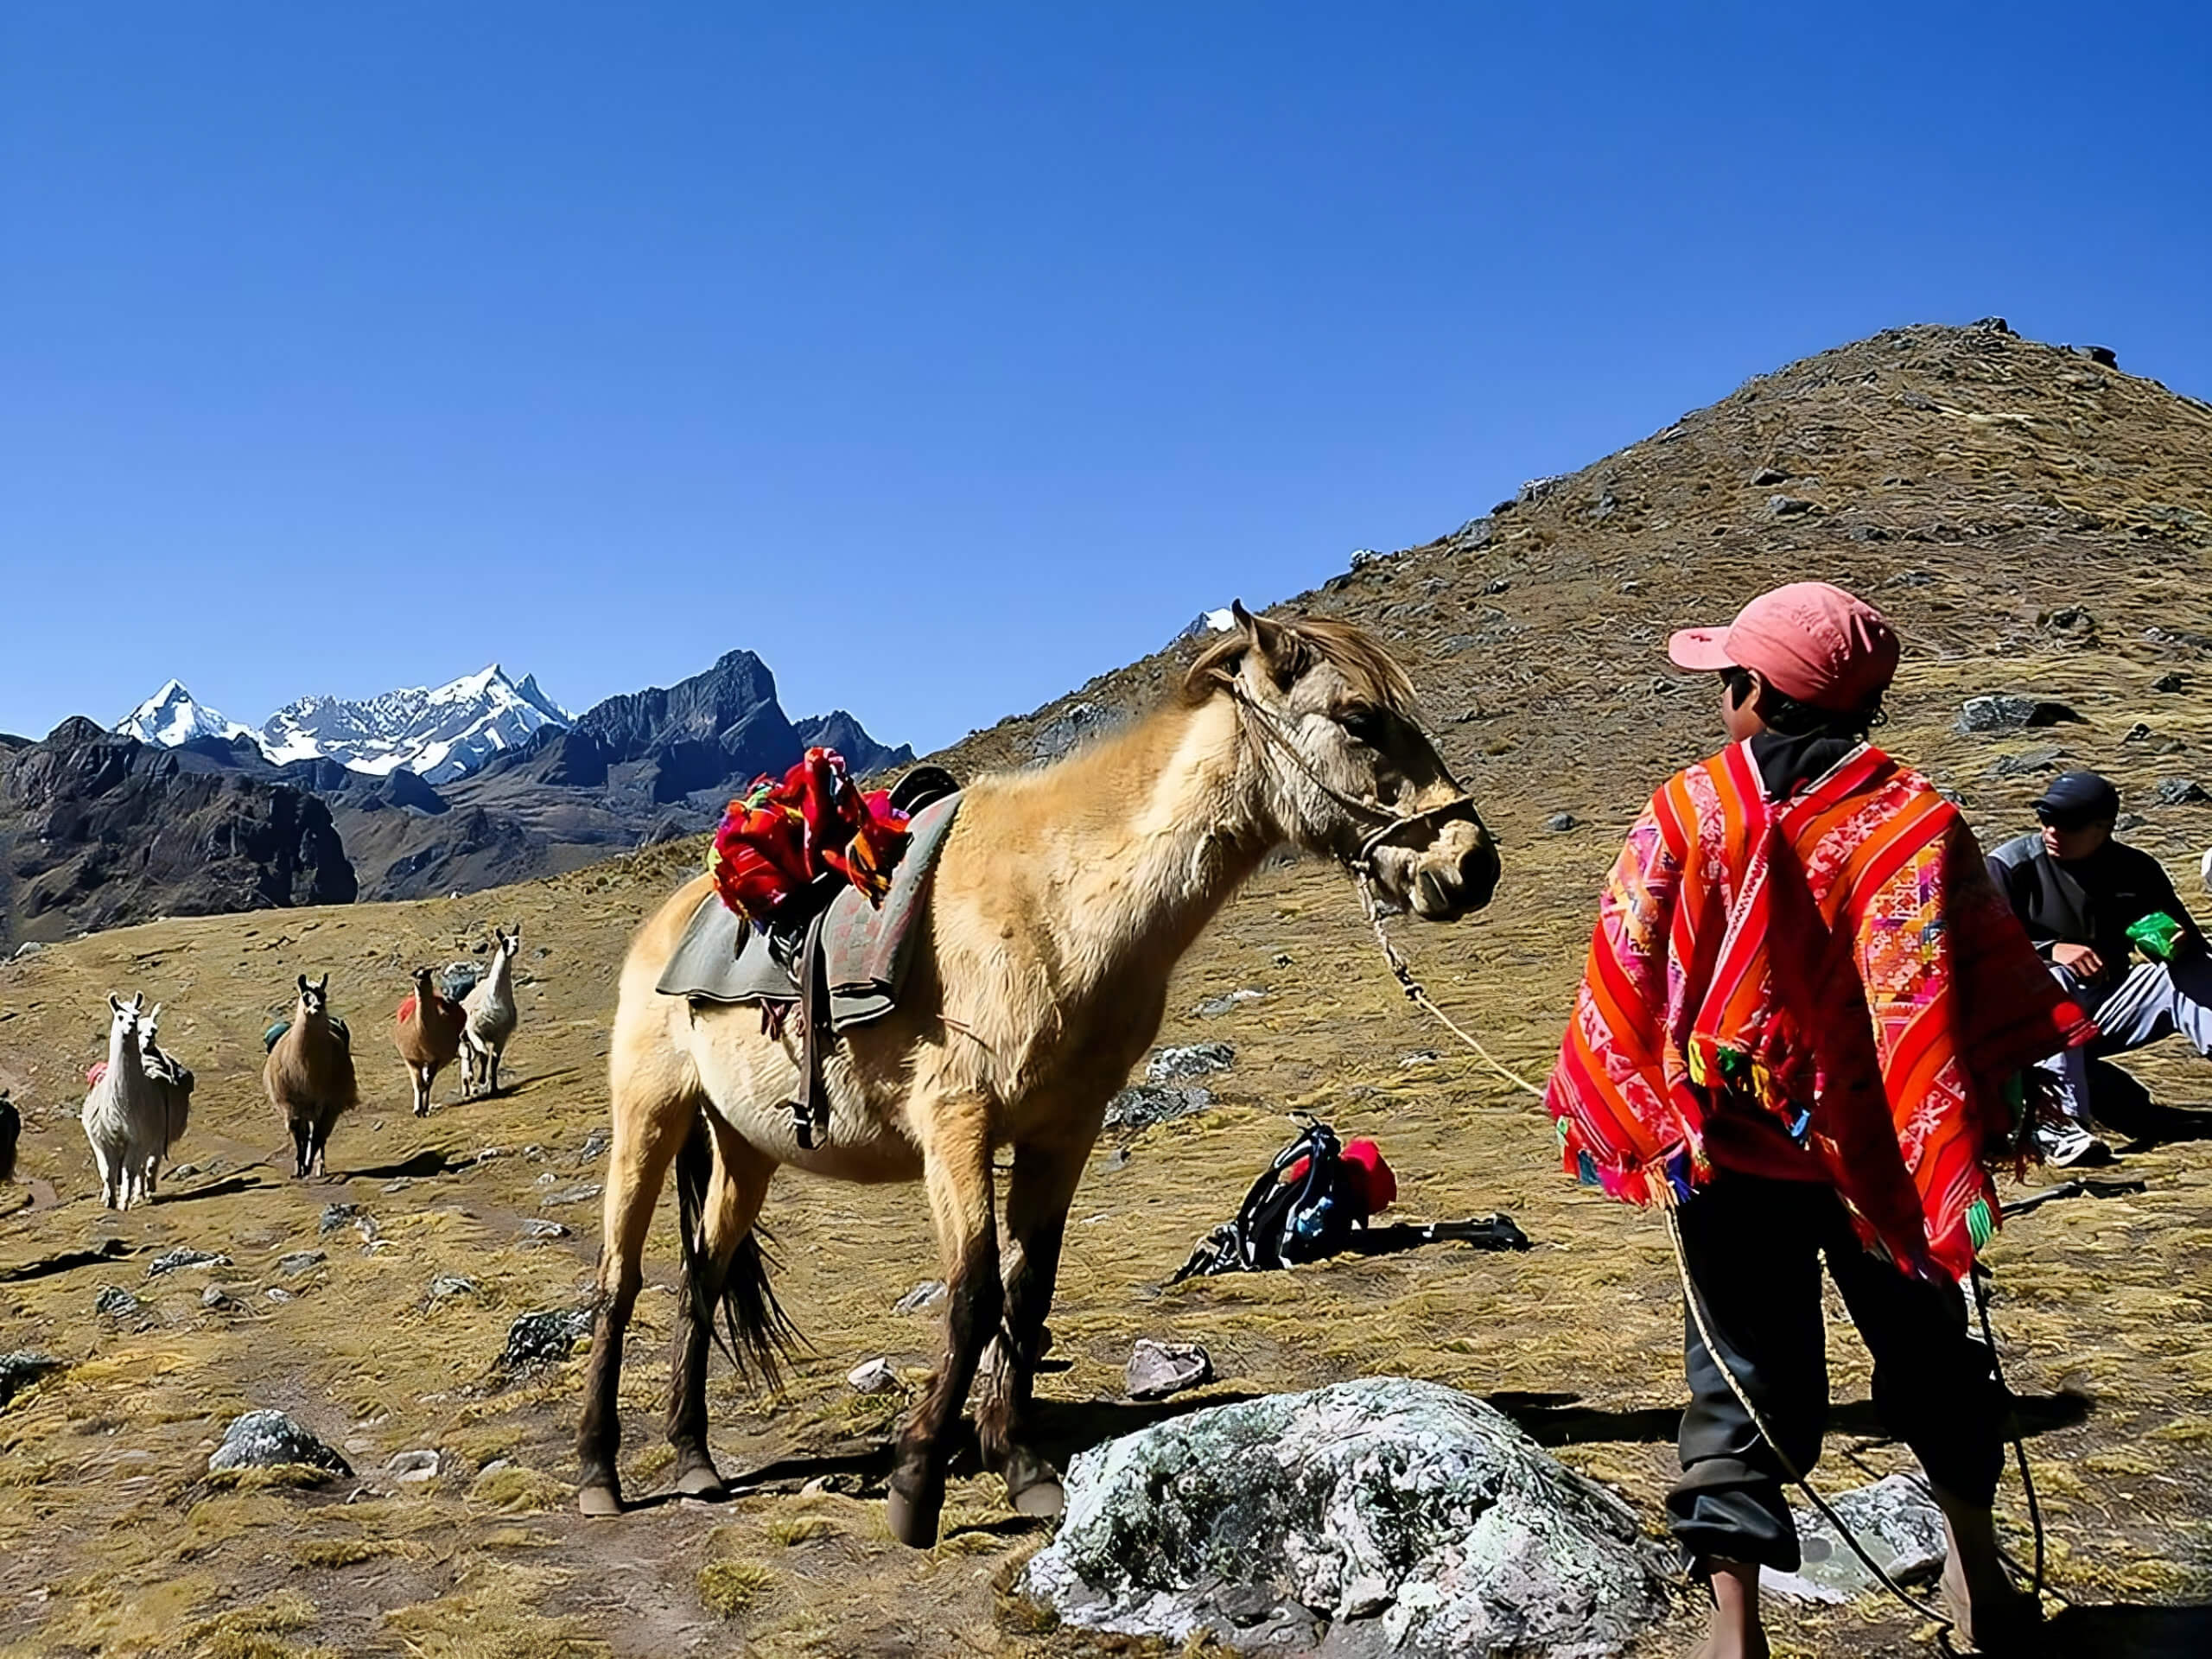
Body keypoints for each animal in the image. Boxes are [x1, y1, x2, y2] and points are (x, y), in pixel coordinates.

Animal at [575, 606, 1503, 1548]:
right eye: (1359, 719)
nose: (1473, 864)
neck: (1059, 907)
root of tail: (675, 916)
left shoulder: (1065, 1131)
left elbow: (1028, 1291)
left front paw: (1019, 1469)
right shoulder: (956, 1126)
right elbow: (974, 1295)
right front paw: (917, 1484)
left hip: (745, 1146)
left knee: (702, 1279)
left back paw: (694, 1459)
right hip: (650, 1116)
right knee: (618, 1283)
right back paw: (599, 1474)